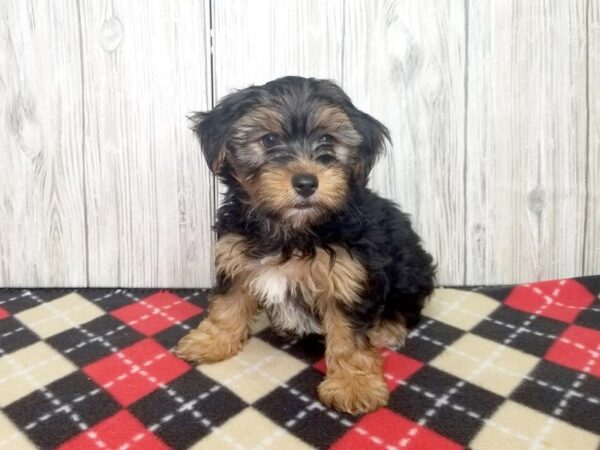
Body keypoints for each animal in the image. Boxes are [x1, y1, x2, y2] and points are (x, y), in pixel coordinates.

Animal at [176, 74, 434, 414]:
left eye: (327, 139)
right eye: (270, 140)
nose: (306, 182)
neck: (292, 229)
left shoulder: (349, 277)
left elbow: (349, 336)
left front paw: (353, 384)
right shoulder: (235, 255)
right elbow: (228, 303)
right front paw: (211, 340)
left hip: (410, 265)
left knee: (408, 304)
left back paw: (388, 327)